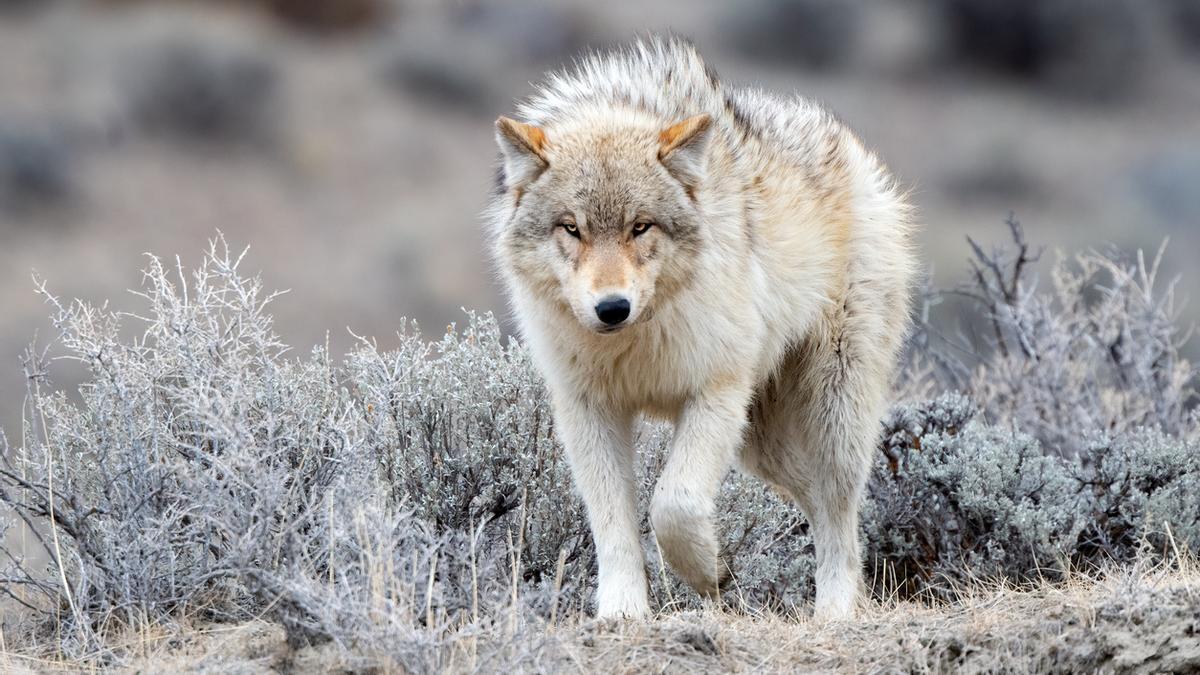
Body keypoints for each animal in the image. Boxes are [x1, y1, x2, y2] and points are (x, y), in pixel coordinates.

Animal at [482, 35, 912, 614]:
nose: (612, 308)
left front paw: (707, 572)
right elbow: (613, 525)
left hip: (831, 419)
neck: (635, 344)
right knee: (813, 501)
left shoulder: (717, 391)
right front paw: (623, 611)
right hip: (762, 445)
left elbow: (674, 504)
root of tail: (855, 150)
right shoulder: (587, 410)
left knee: (839, 512)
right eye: (571, 229)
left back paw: (837, 610)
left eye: (640, 227)